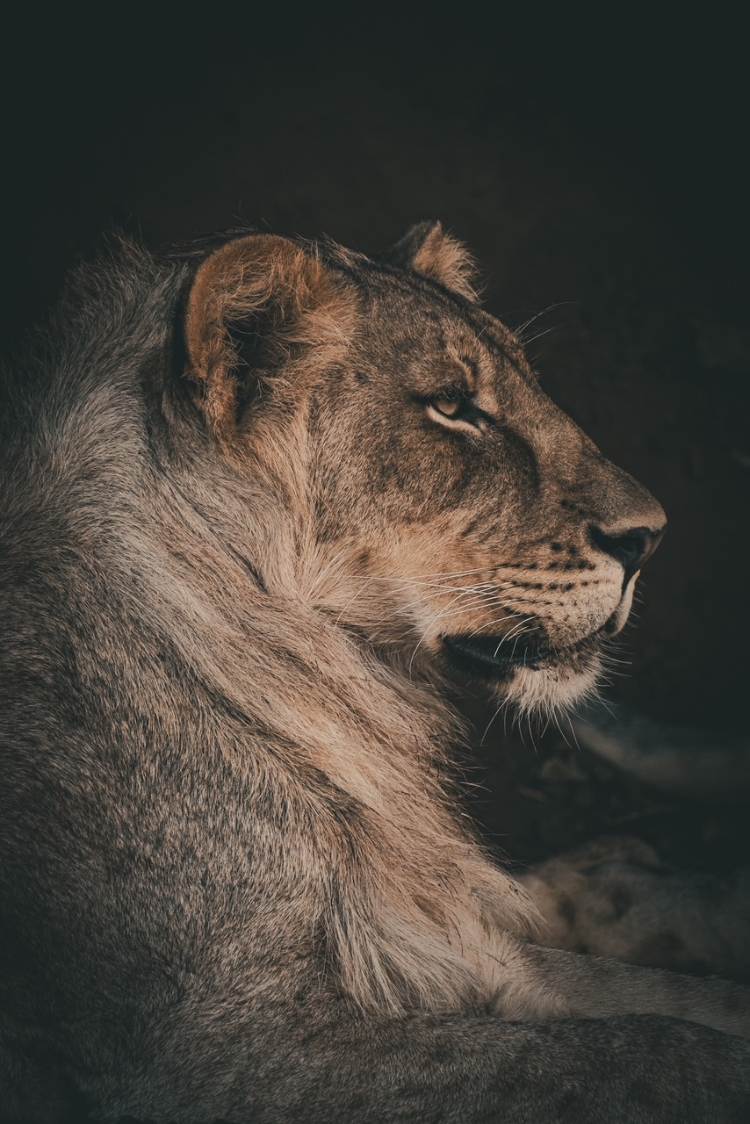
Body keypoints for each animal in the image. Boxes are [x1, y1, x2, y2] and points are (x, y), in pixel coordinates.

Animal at [0, 223, 748, 1122]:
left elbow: (643, 982)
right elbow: (646, 1051)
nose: (650, 537)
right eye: (453, 407)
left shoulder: (429, 930)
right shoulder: (218, 1044)